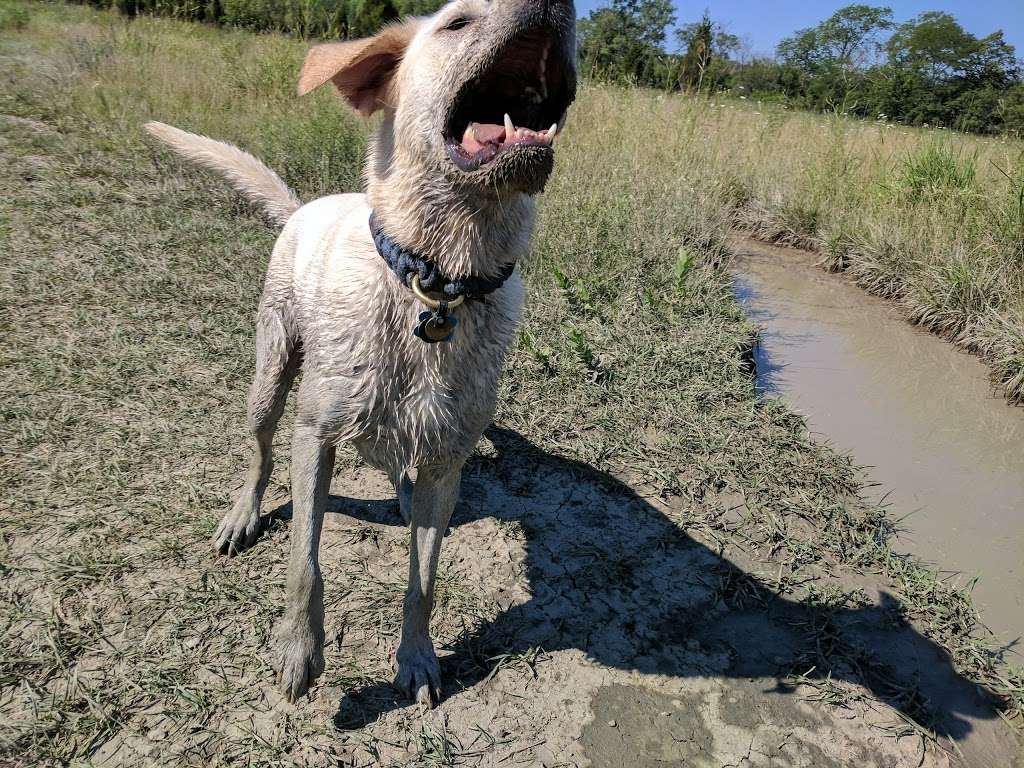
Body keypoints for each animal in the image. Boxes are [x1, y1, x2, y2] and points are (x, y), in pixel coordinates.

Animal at [145, 0, 577, 708]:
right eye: (457, 22)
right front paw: (299, 648)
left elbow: (424, 582)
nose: (554, 5)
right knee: (260, 456)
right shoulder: (315, 434)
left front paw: (418, 658)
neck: (435, 283)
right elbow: (305, 560)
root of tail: (306, 207)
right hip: (271, 378)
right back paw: (242, 514)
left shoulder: (446, 466)